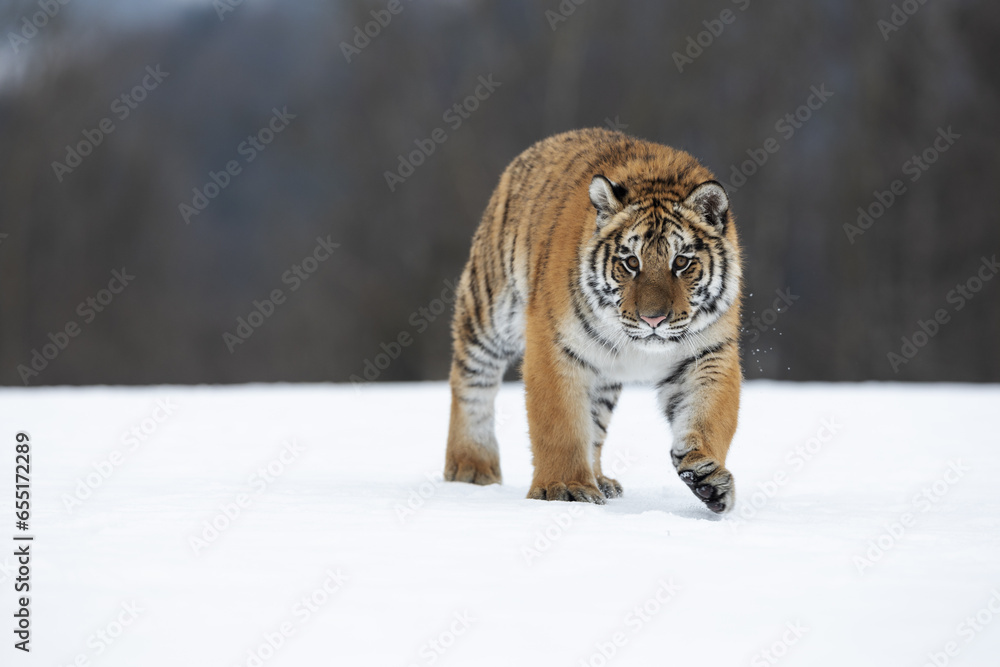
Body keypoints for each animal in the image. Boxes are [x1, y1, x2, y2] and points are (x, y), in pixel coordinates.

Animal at [443, 128, 742, 513]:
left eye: (681, 262)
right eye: (631, 262)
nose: (654, 319)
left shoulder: (708, 353)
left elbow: (708, 414)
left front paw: (707, 477)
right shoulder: (554, 347)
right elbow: (561, 425)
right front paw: (565, 489)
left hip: (603, 370)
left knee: (595, 422)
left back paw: (600, 480)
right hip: (490, 310)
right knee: (471, 382)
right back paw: (471, 467)